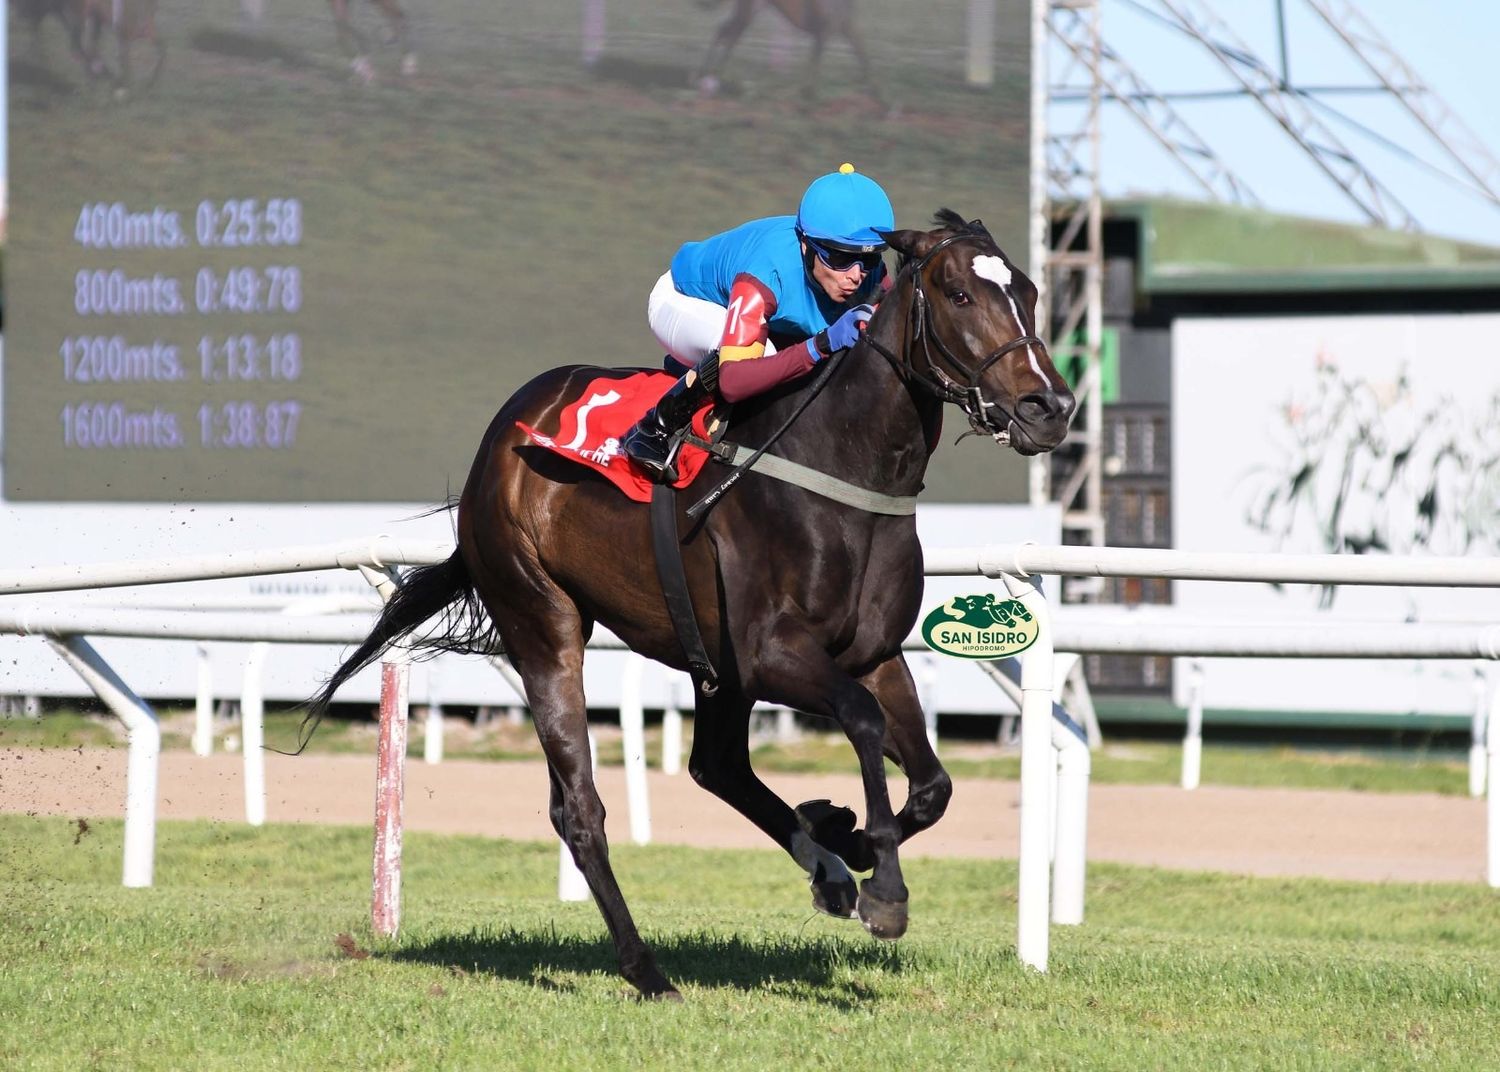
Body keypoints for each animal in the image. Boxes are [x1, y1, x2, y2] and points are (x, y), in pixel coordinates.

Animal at [310, 209, 1074, 995]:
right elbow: (862, 722)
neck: (842, 467)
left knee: (715, 766)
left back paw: (826, 865)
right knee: (581, 810)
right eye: (959, 295)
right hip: (544, 623)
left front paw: (849, 838)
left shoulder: (873, 654)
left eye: (1029, 291)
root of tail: (498, 441)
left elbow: (932, 783)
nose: (1050, 407)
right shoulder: (773, 654)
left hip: (709, 660)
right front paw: (883, 889)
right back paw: (646, 968)